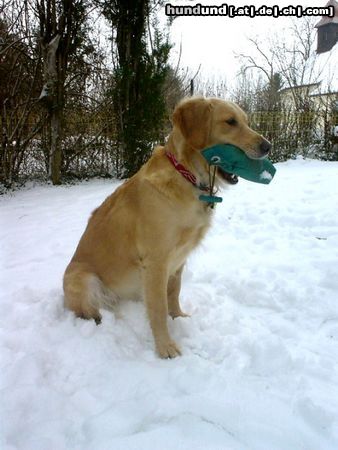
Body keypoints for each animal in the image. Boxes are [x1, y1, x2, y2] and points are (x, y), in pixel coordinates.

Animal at [63, 96, 270, 356]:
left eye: (246, 121)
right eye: (230, 122)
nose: (268, 146)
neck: (186, 176)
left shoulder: (179, 259)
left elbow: (173, 293)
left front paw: (178, 317)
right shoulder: (156, 261)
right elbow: (158, 308)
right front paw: (165, 347)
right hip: (82, 277)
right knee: (90, 311)